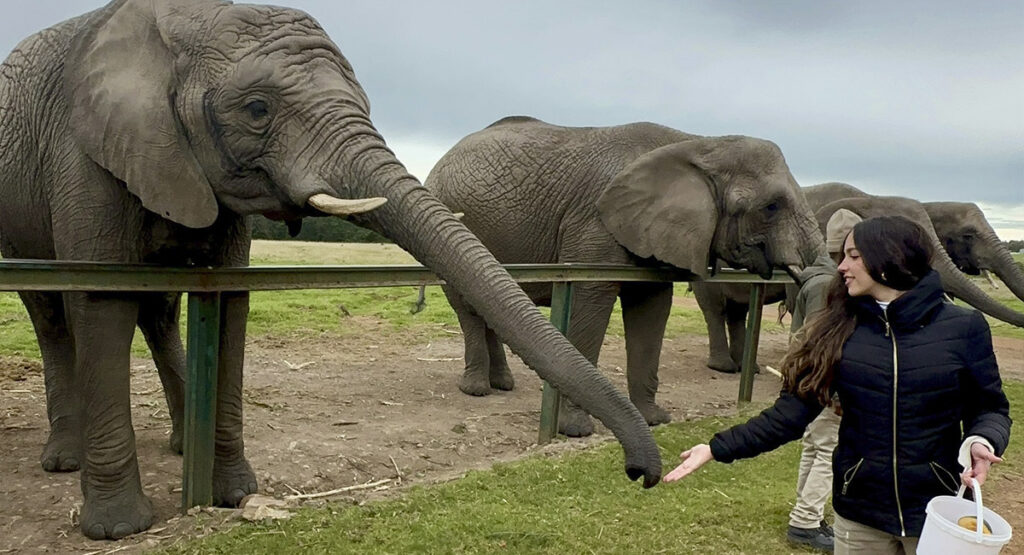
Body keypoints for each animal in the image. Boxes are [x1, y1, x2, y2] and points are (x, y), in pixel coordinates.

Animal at [0, 1, 660, 539]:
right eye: (257, 109)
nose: (642, 474)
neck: (191, 20)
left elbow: (230, 299)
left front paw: (234, 494)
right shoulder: (86, 150)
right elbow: (103, 299)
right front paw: (118, 529)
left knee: (157, 310)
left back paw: (178, 446)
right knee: (52, 315)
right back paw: (65, 459)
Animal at [424, 116, 824, 437]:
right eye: (771, 207)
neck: (698, 142)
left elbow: (651, 310)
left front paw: (653, 420)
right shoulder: (593, 224)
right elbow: (590, 307)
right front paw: (576, 431)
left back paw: (503, 384)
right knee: (467, 308)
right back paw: (477, 389)